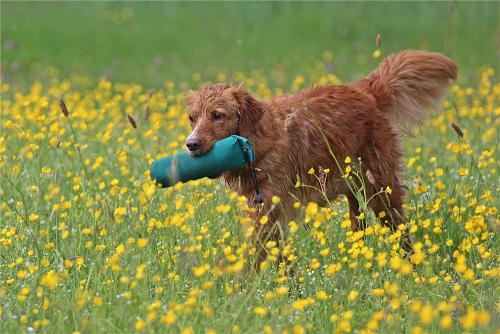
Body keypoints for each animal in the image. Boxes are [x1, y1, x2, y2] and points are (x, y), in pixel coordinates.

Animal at [185, 51, 458, 262]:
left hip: (382, 189)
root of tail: (363, 90)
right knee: (360, 225)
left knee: (401, 231)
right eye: (192, 118)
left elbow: (255, 256)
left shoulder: (270, 208)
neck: (258, 142)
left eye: (217, 115)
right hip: (354, 190)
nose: (191, 144)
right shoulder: (267, 210)